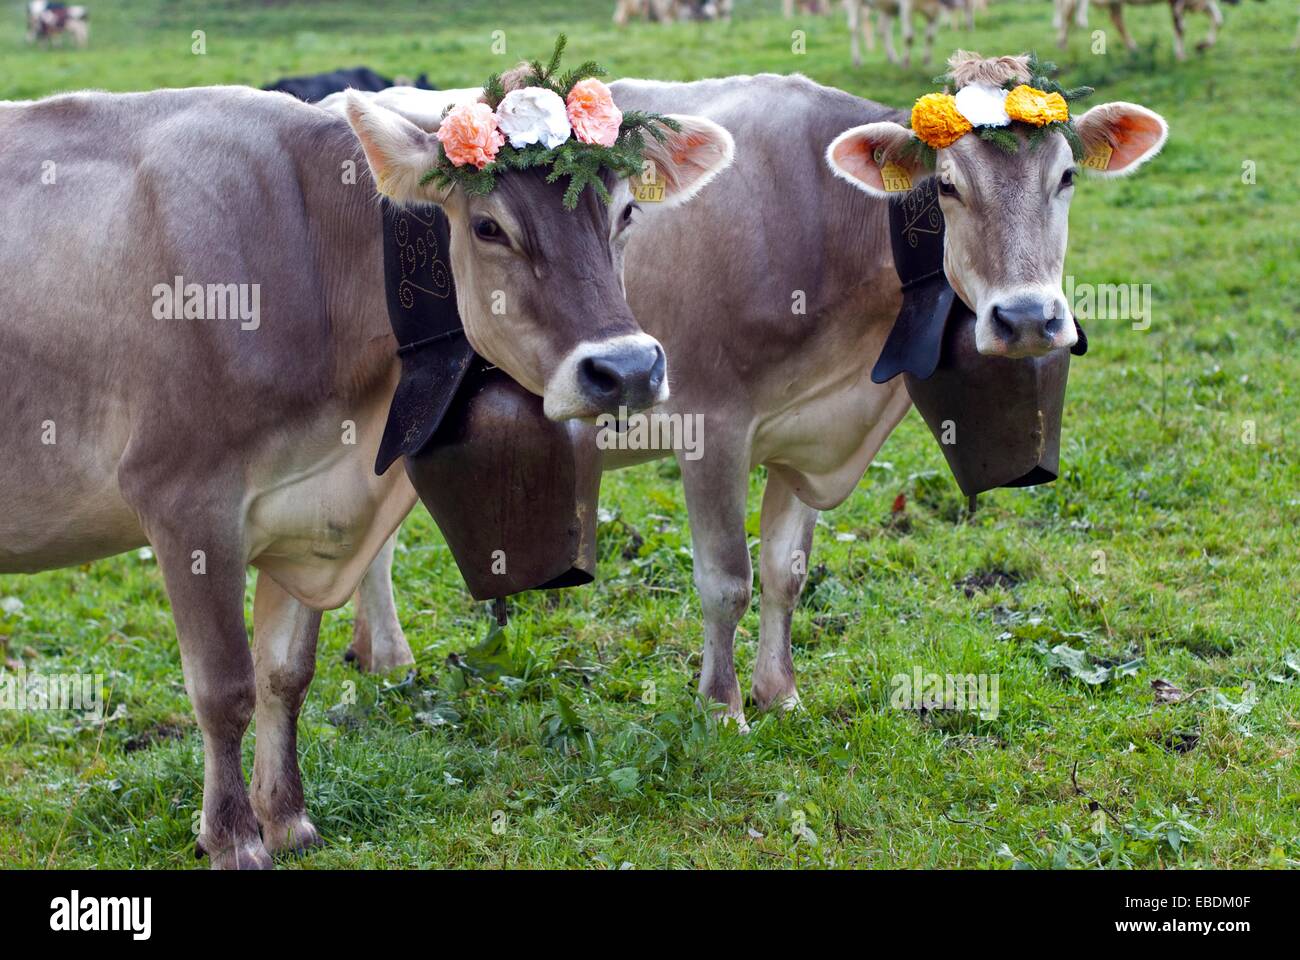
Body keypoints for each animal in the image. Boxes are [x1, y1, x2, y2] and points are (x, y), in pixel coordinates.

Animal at [0, 83, 733, 868]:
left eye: (626, 213)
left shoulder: (305, 510)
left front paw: (287, 819)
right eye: (487, 227)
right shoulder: (181, 497)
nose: (627, 369)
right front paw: (233, 839)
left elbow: (284, 676)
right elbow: (224, 689)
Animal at [353, 57, 1170, 723]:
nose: (1028, 317)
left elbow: (786, 573)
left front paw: (781, 694)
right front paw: (722, 710)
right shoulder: (712, 424)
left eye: (1066, 178)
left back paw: (378, 659)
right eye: (946, 186)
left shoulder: (803, 431)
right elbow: (728, 581)